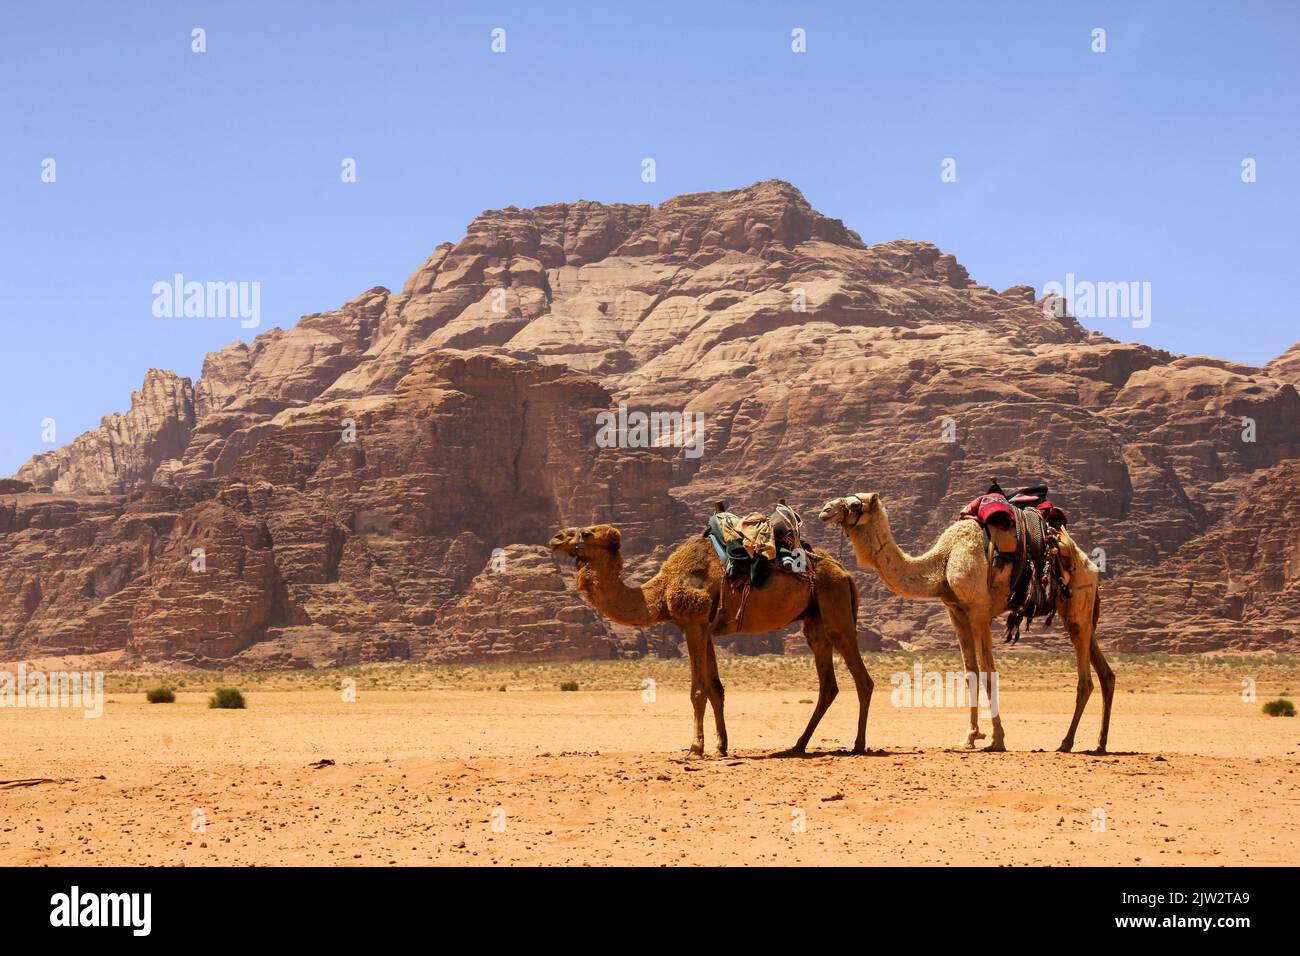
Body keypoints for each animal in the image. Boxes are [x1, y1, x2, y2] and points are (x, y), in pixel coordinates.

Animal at [548, 524, 873, 757]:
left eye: (586, 533)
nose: (555, 538)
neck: (658, 594)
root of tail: (846, 574)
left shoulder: (693, 624)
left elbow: (697, 691)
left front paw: (695, 749)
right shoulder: (706, 629)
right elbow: (716, 689)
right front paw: (721, 747)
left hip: (835, 606)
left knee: (863, 679)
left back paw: (858, 745)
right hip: (814, 620)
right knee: (828, 685)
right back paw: (797, 745)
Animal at [818, 493, 1113, 753]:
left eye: (855, 504)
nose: (825, 510)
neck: (944, 561)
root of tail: (1089, 564)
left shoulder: (979, 610)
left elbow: (988, 671)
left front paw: (997, 739)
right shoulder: (956, 611)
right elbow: (971, 671)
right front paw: (970, 737)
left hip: (1078, 603)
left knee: (1085, 679)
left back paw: (1066, 742)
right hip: (1078, 611)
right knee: (1106, 673)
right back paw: (1100, 743)